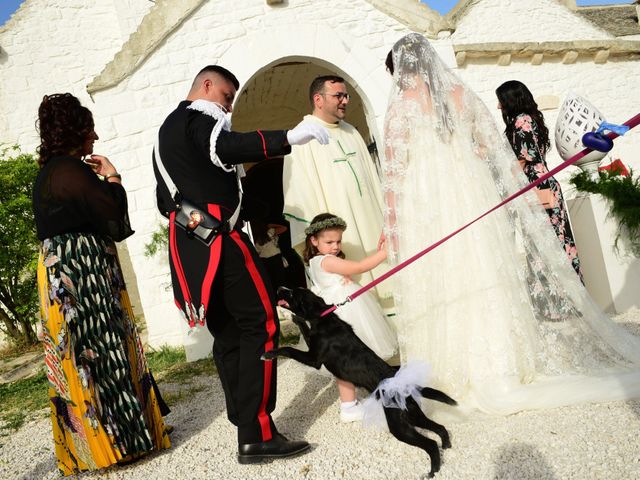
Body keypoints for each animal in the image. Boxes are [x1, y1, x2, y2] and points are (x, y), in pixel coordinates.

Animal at [262, 286, 458, 478]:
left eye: (292, 293)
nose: (279, 288)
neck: (323, 317)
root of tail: (402, 384)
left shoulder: (314, 359)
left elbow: (288, 349)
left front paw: (269, 353)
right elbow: (304, 327)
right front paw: (295, 318)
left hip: (399, 425)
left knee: (430, 444)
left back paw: (432, 471)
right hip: (413, 416)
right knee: (440, 428)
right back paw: (446, 446)